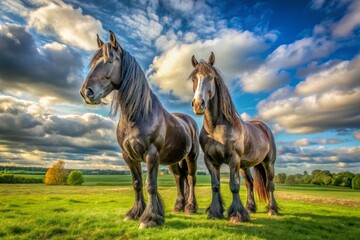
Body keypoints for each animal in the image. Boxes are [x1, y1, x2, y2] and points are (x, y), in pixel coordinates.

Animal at [80, 30, 200, 229]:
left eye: (110, 60)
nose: (86, 92)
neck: (138, 114)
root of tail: (188, 120)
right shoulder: (128, 156)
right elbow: (136, 183)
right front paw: (135, 213)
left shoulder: (151, 154)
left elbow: (151, 185)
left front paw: (150, 218)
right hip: (173, 160)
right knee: (178, 178)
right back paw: (178, 207)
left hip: (191, 157)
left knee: (190, 178)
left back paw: (190, 207)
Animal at [188, 52, 278, 223]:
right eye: (193, 78)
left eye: (211, 77)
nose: (198, 104)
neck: (215, 128)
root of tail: (263, 127)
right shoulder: (211, 160)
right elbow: (215, 185)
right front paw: (215, 212)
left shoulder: (233, 159)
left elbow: (234, 185)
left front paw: (236, 214)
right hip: (245, 166)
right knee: (250, 184)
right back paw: (250, 208)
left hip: (268, 163)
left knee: (270, 184)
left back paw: (272, 210)